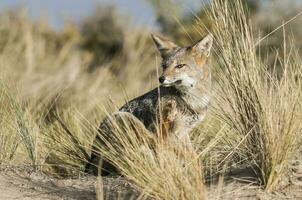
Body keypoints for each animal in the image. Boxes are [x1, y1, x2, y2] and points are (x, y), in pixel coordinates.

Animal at [84, 33, 212, 176]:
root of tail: (89, 164)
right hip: (125, 118)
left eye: (180, 66)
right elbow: (189, 156)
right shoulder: (175, 132)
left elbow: (192, 154)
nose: (161, 78)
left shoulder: (184, 131)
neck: (193, 100)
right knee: (156, 142)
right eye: (164, 66)